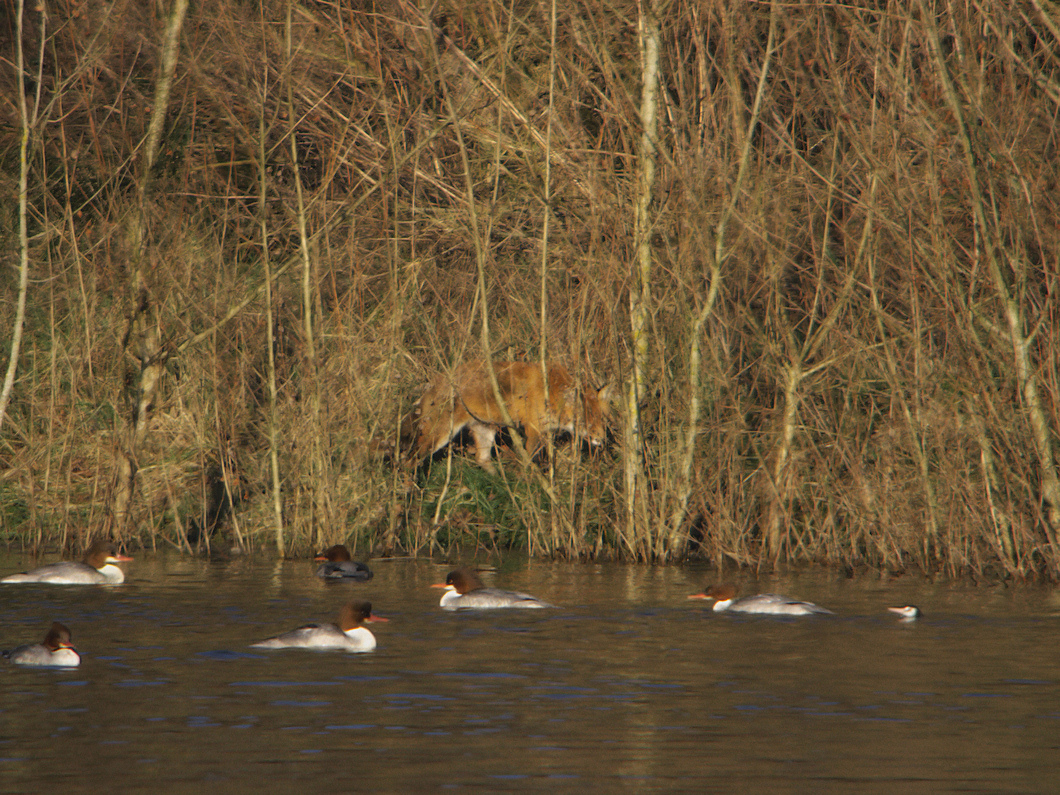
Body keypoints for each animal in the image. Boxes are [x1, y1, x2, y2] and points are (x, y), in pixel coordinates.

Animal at [401, 360, 613, 470]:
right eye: (586, 421)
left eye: (602, 420)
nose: (602, 439)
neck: (551, 394)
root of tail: (435, 382)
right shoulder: (533, 430)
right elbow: (529, 460)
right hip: (438, 436)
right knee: (409, 460)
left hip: (484, 431)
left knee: (482, 460)